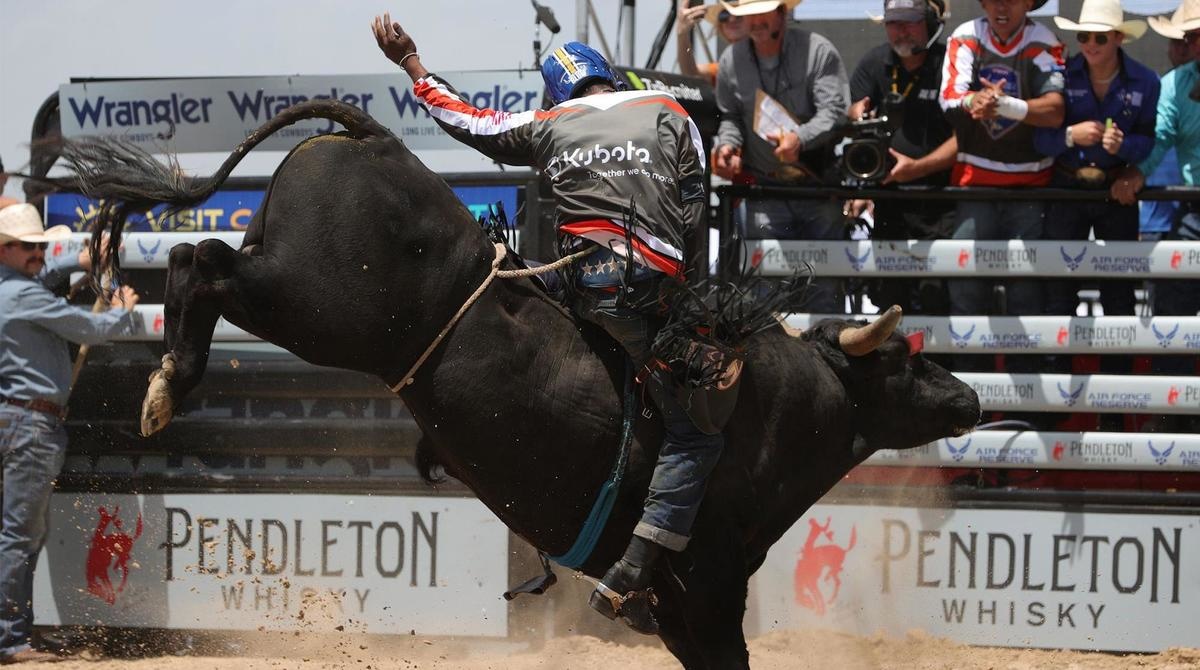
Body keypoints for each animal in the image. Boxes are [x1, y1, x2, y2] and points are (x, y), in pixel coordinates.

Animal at [51, 100, 979, 670]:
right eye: (909, 360)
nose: (970, 397)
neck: (796, 402)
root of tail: (375, 139)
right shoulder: (710, 589)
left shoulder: (682, 610)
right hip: (315, 304)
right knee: (195, 262)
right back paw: (169, 383)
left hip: (295, 294)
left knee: (196, 257)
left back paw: (165, 382)